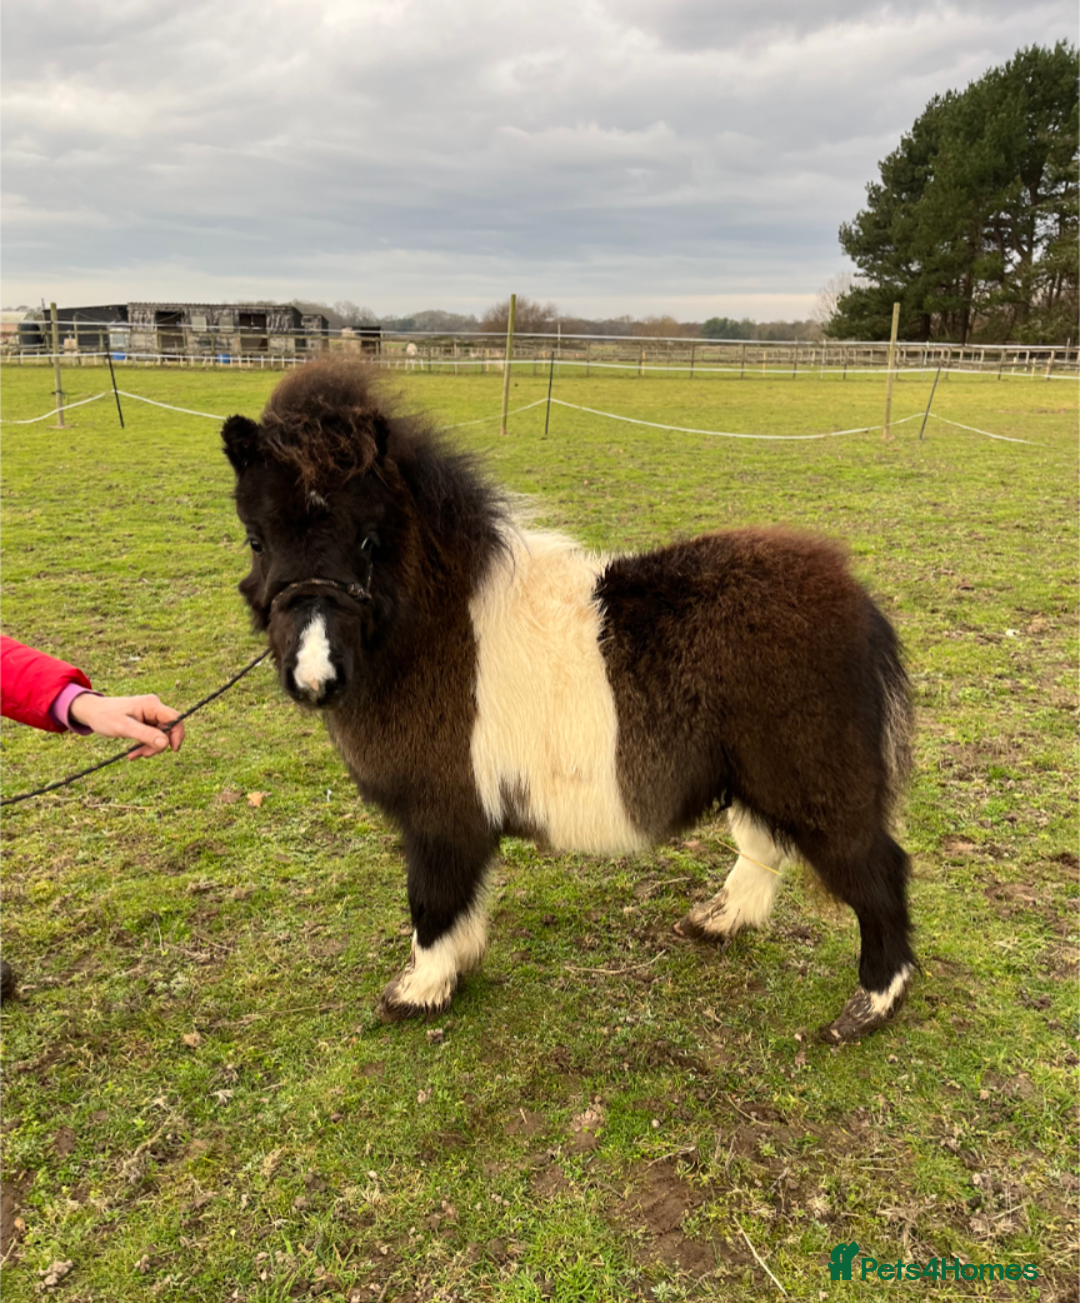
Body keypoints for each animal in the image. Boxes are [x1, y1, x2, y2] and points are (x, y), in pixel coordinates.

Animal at [222, 360, 916, 1043]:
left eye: (368, 540)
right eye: (256, 539)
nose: (314, 676)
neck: (438, 627)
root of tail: (856, 600)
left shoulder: (442, 812)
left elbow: (433, 898)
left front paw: (420, 990)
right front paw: (452, 971)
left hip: (816, 781)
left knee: (877, 869)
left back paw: (871, 1005)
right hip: (756, 776)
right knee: (765, 845)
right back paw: (718, 921)